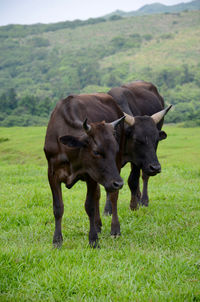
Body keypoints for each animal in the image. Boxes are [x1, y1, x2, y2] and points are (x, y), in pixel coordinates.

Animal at [44, 93, 125, 247]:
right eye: (96, 151)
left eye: (116, 149)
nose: (118, 183)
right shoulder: (52, 174)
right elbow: (58, 207)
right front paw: (57, 240)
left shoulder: (91, 176)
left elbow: (90, 206)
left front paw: (93, 239)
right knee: (99, 194)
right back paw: (98, 225)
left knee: (113, 196)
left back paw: (115, 229)